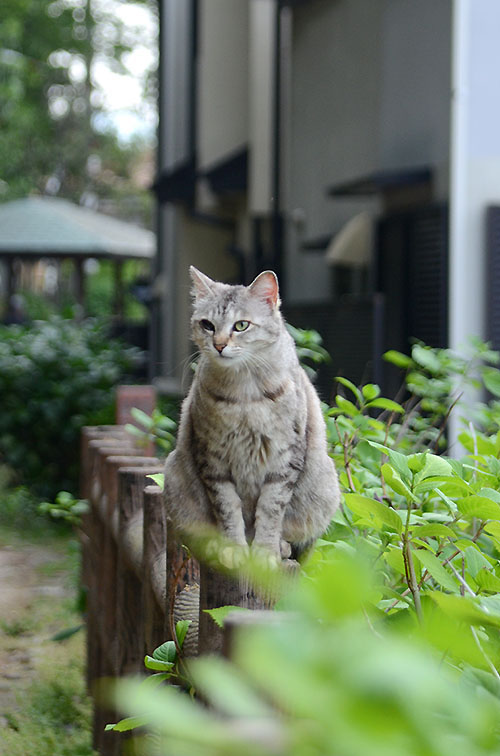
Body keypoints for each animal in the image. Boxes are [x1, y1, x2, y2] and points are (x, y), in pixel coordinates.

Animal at [163, 268, 340, 560]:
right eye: (207, 325)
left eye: (241, 326)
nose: (219, 345)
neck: (244, 394)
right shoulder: (213, 459)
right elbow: (227, 508)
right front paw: (233, 548)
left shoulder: (284, 459)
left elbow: (270, 510)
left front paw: (265, 552)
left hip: (324, 486)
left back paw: (281, 546)